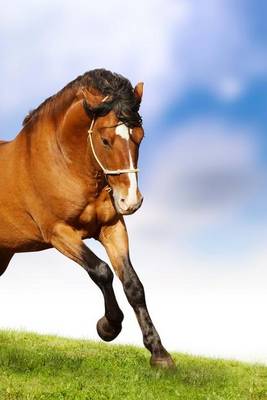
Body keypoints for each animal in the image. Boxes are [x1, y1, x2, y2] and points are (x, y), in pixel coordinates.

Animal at [0, 69, 175, 368]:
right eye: (105, 141)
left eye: (140, 137)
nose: (131, 201)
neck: (65, 163)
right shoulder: (59, 232)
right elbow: (102, 271)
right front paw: (108, 327)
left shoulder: (112, 227)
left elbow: (133, 284)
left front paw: (159, 354)